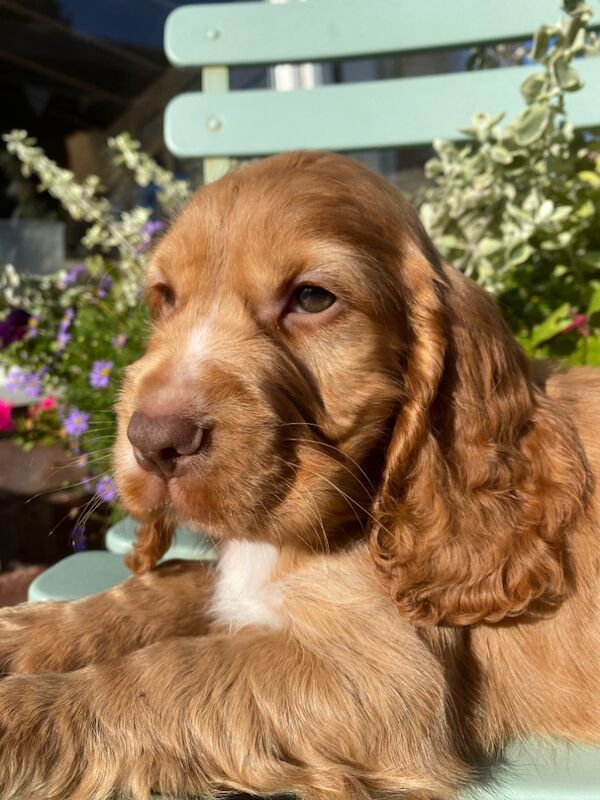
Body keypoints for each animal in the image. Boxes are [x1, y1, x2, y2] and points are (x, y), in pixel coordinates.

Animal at [1, 152, 600, 800]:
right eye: (165, 298)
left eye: (312, 298)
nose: (154, 441)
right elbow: (161, 587)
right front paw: (22, 633)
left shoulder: (383, 679)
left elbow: (161, 672)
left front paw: (16, 713)